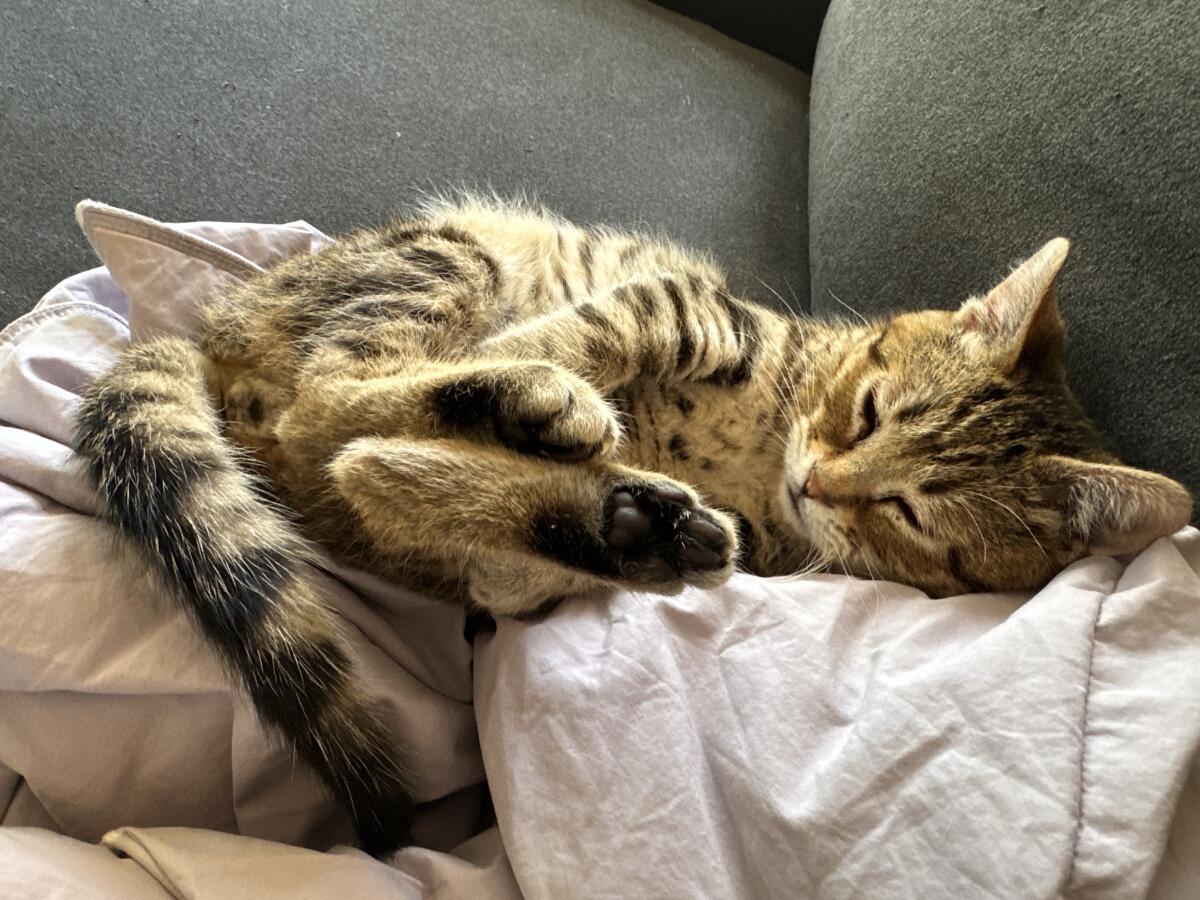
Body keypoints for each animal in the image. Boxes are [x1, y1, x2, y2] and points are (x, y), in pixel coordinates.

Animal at [72, 195, 1190, 854]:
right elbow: (590, 326)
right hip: (451, 256)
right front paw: (533, 366)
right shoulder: (691, 307)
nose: (821, 483)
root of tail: (213, 330)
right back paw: (523, 414)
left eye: (911, 511)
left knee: (353, 461)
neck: (766, 449)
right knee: (327, 412)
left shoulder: (763, 531)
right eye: (869, 411)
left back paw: (606, 516)